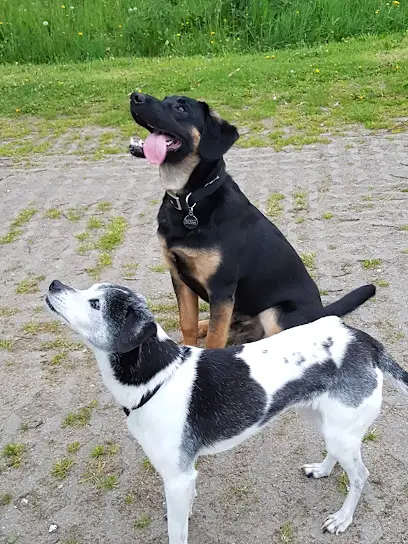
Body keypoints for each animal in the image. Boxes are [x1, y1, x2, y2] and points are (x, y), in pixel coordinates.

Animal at [45, 278, 408, 540]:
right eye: (90, 290)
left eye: (96, 304)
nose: (54, 284)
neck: (157, 376)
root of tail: (364, 341)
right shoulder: (184, 477)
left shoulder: (176, 477)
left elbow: (177, 533)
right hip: (324, 421)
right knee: (337, 455)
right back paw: (322, 470)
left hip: (340, 431)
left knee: (360, 476)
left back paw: (342, 518)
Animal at [129, 92, 374, 348]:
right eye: (165, 98)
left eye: (180, 108)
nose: (135, 96)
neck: (190, 201)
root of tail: (321, 313)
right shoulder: (179, 278)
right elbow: (187, 323)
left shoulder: (222, 288)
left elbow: (215, 338)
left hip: (274, 313)